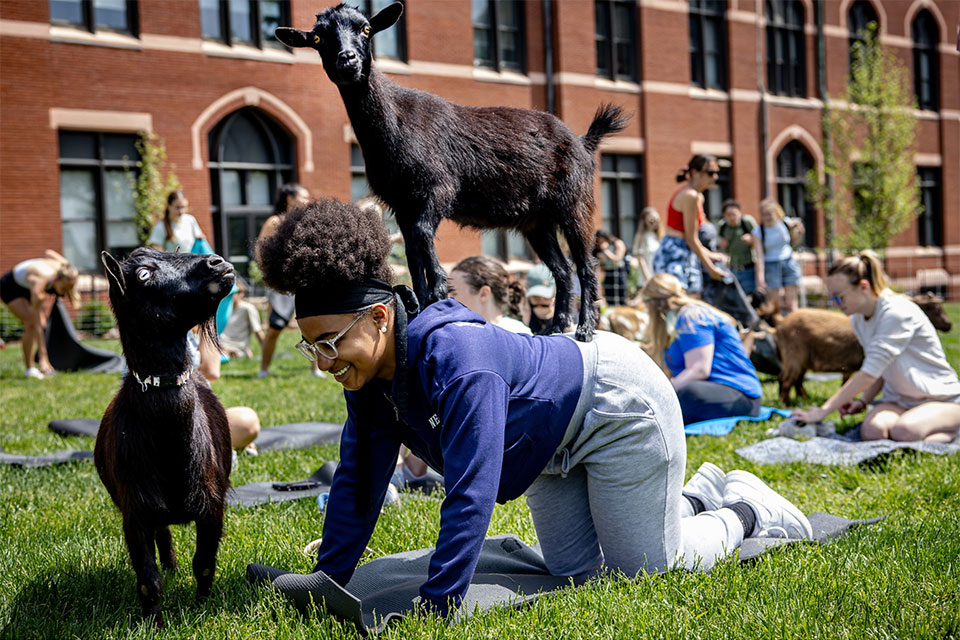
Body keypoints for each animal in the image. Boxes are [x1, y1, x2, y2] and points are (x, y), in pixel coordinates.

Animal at [95, 248, 234, 628]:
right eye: (143, 274)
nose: (216, 262)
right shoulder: (135, 511)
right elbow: (148, 580)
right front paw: (154, 625)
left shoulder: (212, 505)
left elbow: (204, 565)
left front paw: (202, 609)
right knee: (164, 533)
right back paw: (170, 566)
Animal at [274, 1, 632, 340]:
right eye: (318, 38)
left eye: (365, 29)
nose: (347, 60)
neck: (395, 124)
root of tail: (583, 142)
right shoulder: (401, 203)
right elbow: (412, 251)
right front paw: (419, 303)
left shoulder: (438, 188)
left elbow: (422, 235)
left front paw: (439, 290)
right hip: (537, 222)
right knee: (562, 269)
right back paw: (555, 328)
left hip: (575, 203)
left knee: (586, 265)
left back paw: (585, 328)